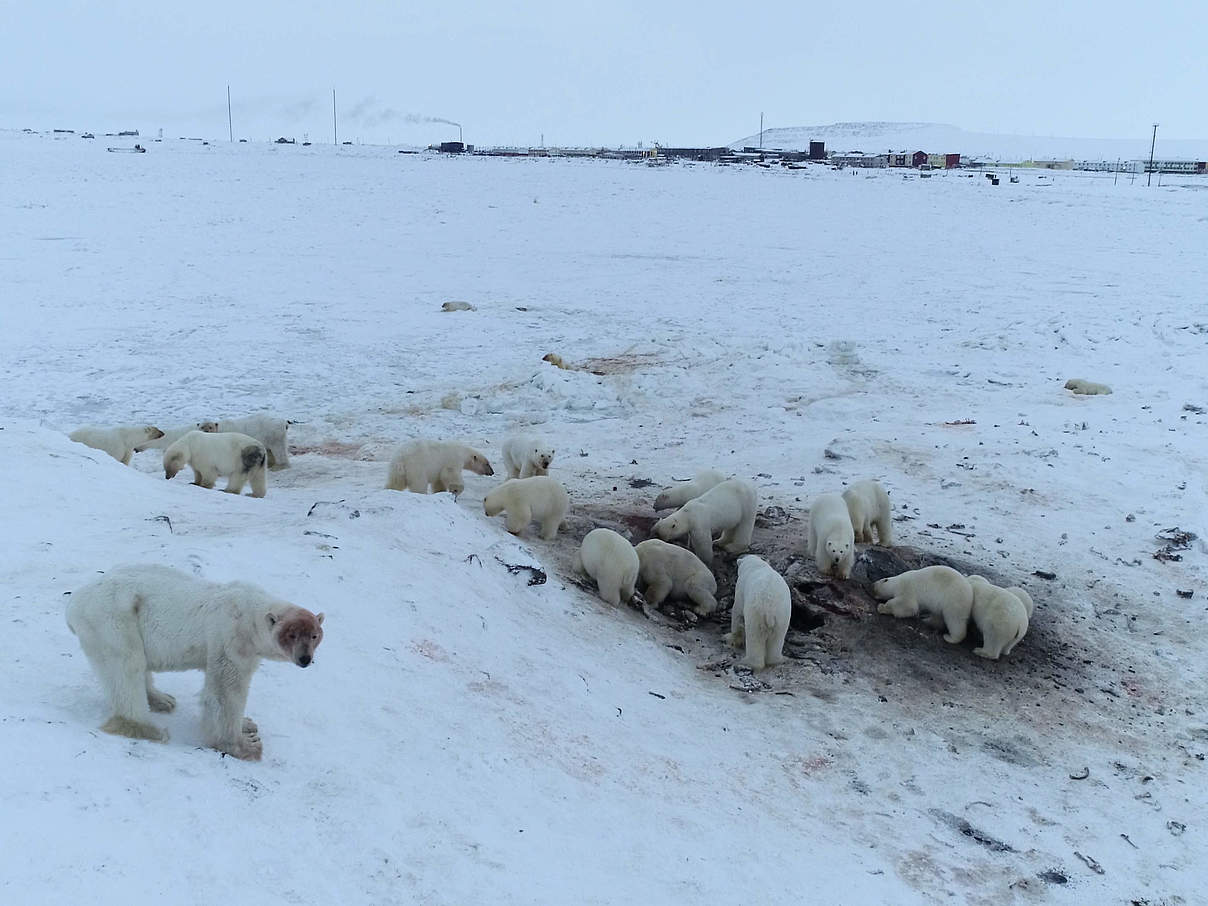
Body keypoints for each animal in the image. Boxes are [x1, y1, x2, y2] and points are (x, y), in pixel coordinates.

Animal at [65, 567, 321, 758]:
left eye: (314, 635)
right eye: (292, 635)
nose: (305, 659)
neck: (250, 612)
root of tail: (73, 603)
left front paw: (247, 724)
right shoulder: (231, 637)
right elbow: (226, 691)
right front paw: (246, 745)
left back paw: (161, 700)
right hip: (114, 620)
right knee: (127, 666)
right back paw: (147, 728)